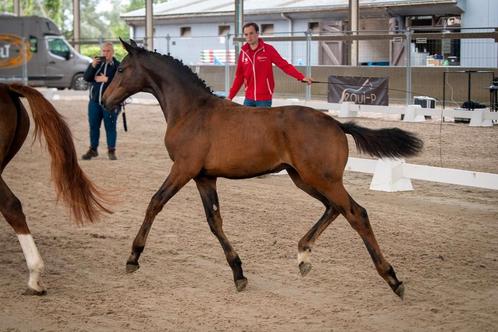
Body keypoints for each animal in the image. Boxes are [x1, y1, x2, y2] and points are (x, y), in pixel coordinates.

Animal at [103, 39, 422, 298]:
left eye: (121, 69)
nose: (105, 100)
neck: (192, 111)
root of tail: (336, 124)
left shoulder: (183, 169)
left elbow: (155, 203)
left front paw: (133, 257)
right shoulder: (205, 177)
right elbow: (214, 221)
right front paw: (239, 273)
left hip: (322, 179)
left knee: (356, 213)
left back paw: (393, 279)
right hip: (303, 179)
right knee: (334, 208)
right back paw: (303, 256)